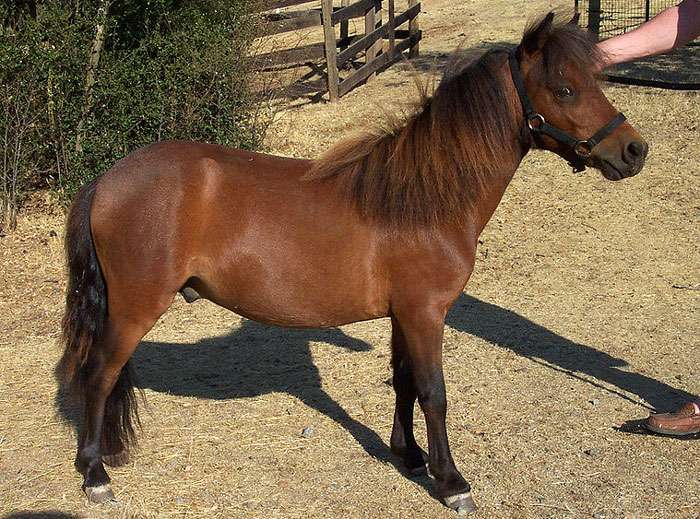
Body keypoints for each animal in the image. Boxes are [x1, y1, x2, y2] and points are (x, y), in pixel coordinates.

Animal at [57, 12, 648, 513]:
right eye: (565, 89)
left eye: (594, 80)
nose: (634, 150)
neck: (424, 198)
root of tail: (106, 180)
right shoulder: (425, 313)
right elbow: (434, 392)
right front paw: (451, 482)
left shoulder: (404, 315)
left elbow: (404, 381)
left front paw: (409, 455)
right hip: (133, 309)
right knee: (99, 374)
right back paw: (95, 475)